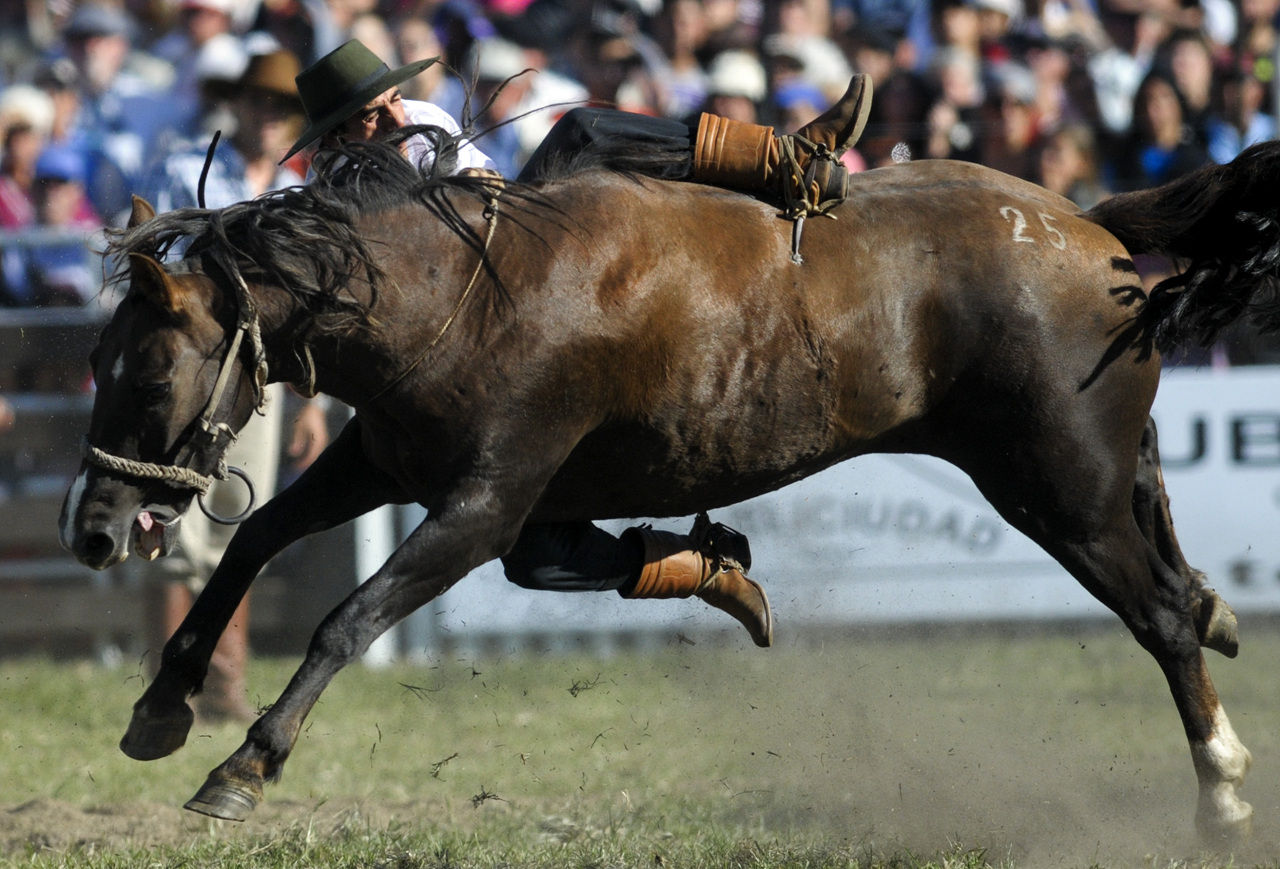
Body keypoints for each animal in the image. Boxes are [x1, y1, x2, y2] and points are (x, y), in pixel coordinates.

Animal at [57, 137, 1280, 844]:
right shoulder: (388, 465)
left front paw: (243, 764)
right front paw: (162, 705)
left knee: (1158, 617)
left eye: (149, 372)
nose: (93, 530)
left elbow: (346, 616)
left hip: (1057, 488)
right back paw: (1220, 620)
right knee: (1169, 559)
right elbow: (257, 537)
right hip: (1095, 472)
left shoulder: (481, 505)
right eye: (96, 360)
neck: (460, 294)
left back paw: (1221, 787)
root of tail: (1091, 227)